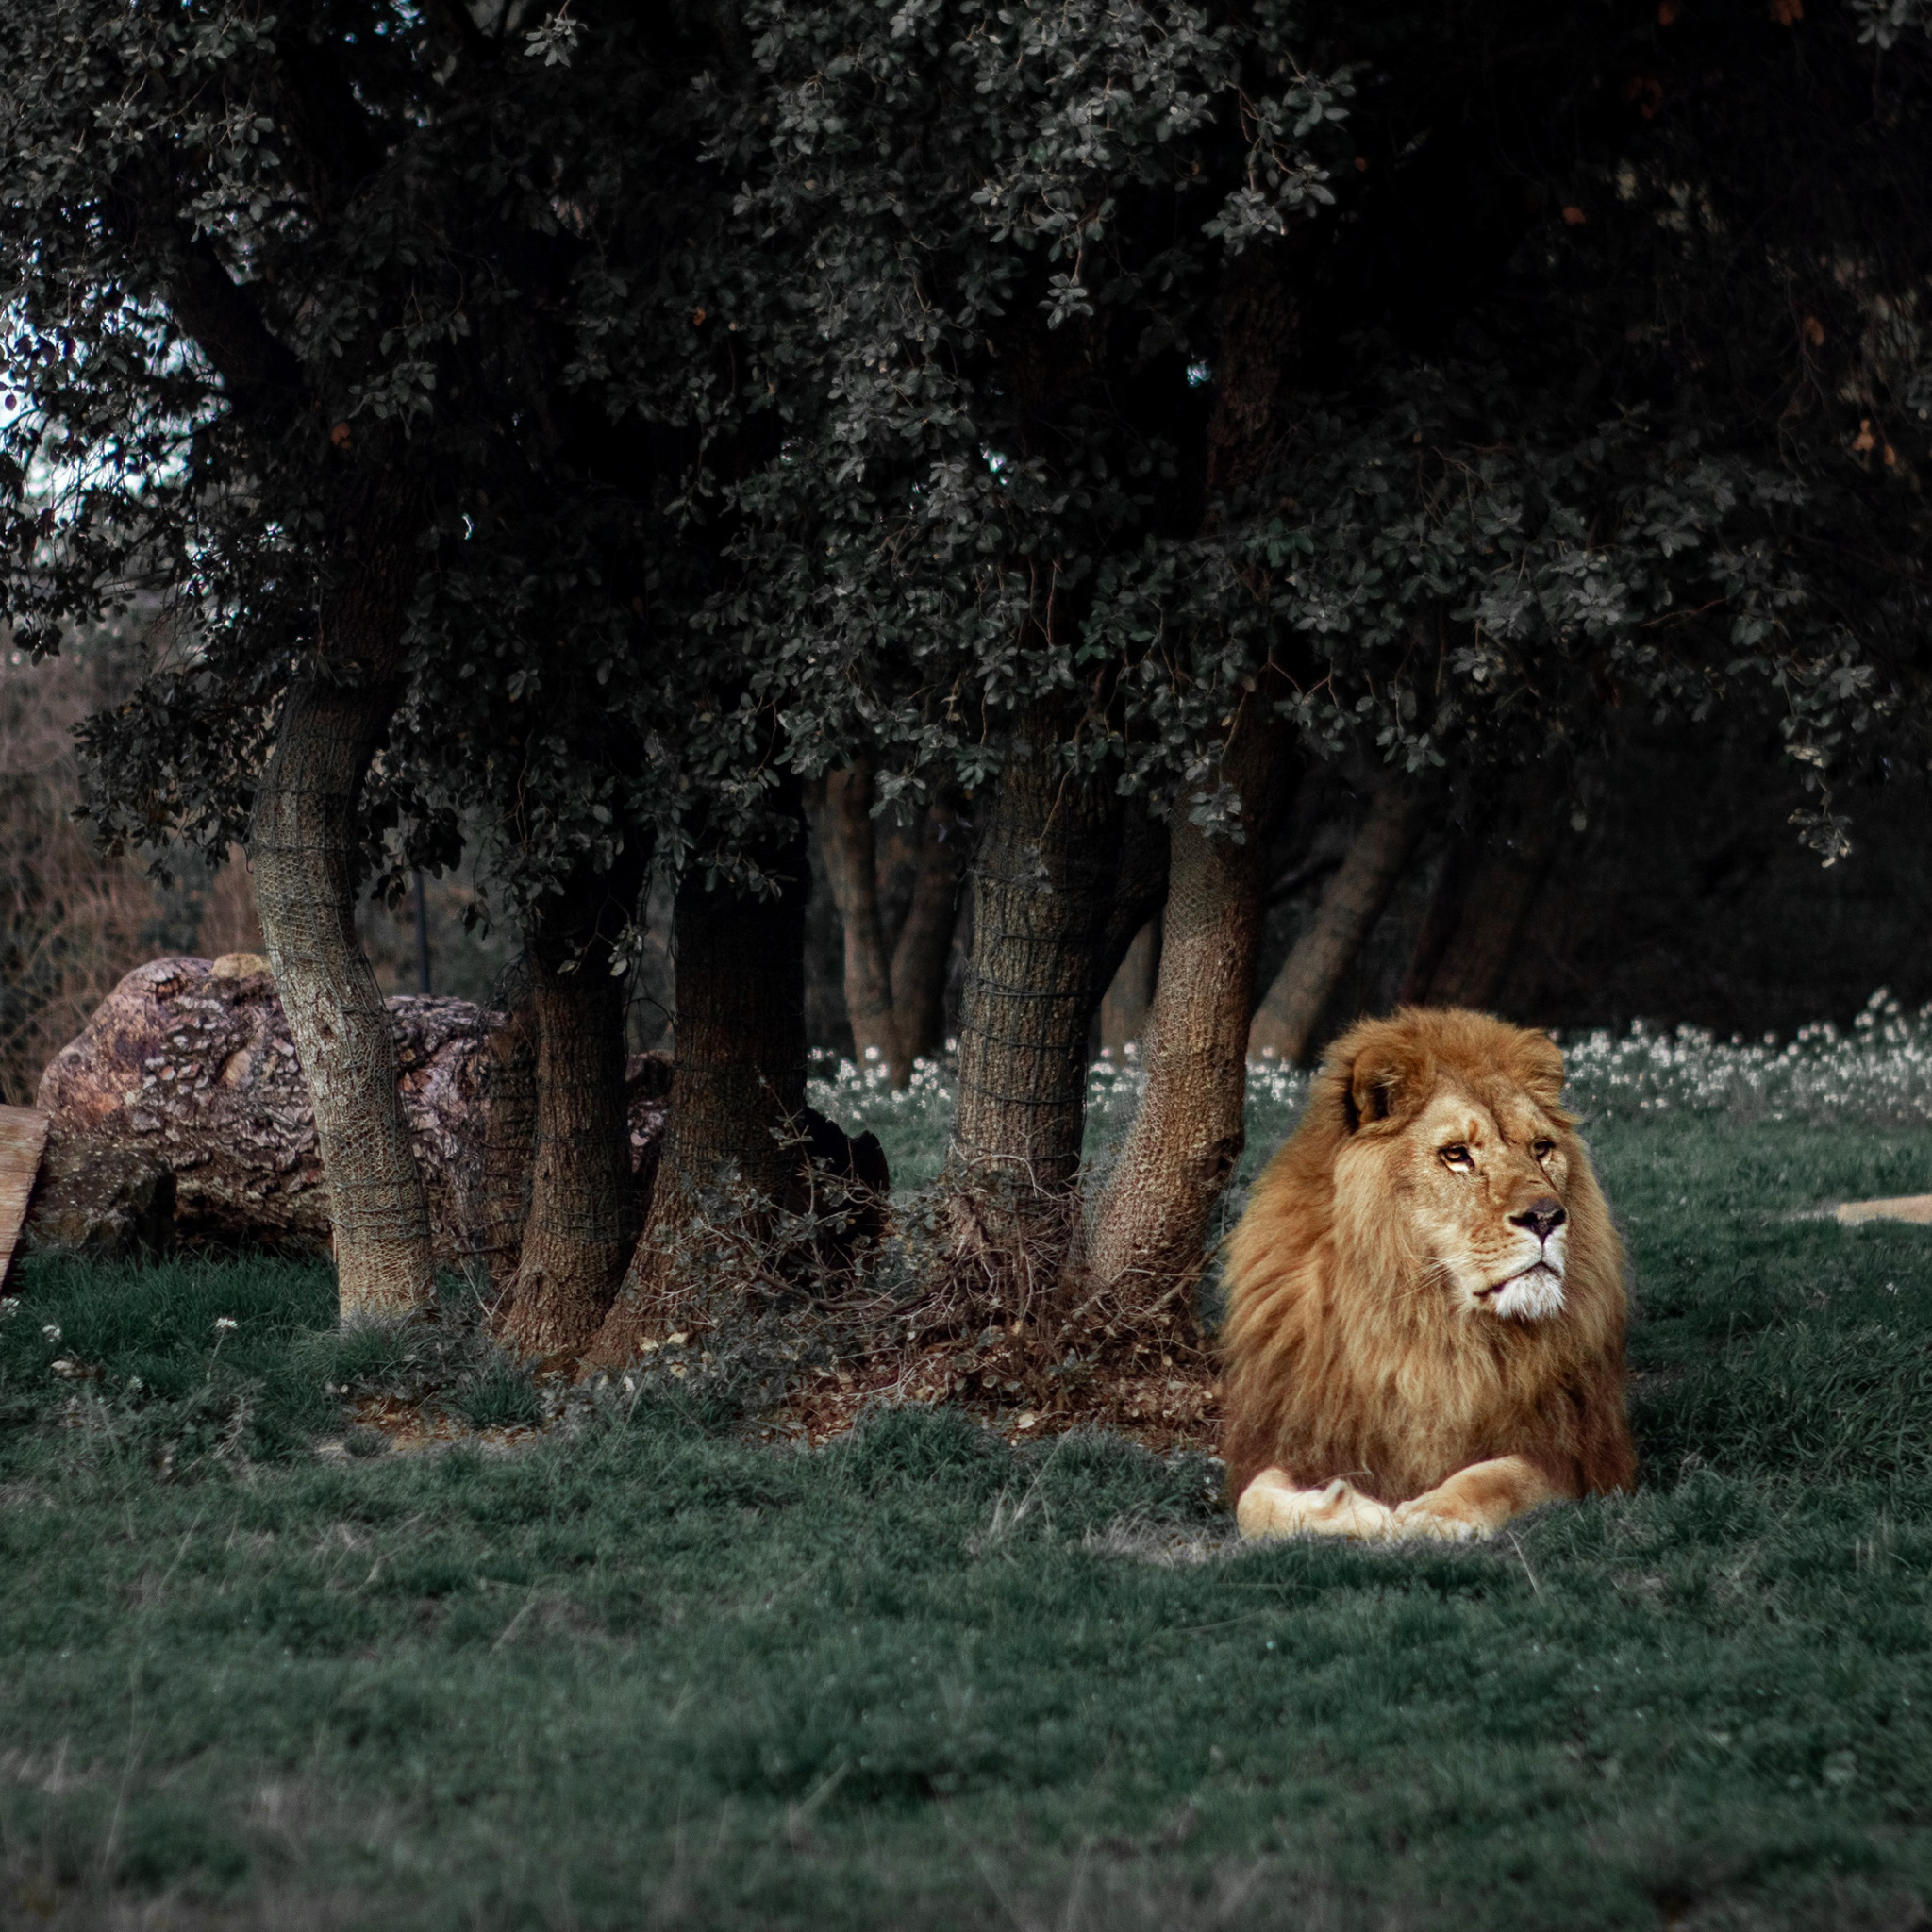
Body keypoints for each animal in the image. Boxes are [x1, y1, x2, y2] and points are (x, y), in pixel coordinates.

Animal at [1221, 1004, 1630, 1545]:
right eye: (1456, 1155)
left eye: (1541, 1148)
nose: (1546, 1217)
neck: (1428, 1323)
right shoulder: (1295, 1436)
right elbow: (1253, 1501)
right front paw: (1348, 1510)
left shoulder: (1585, 1456)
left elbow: (1505, 1476)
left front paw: (1435, 1513)